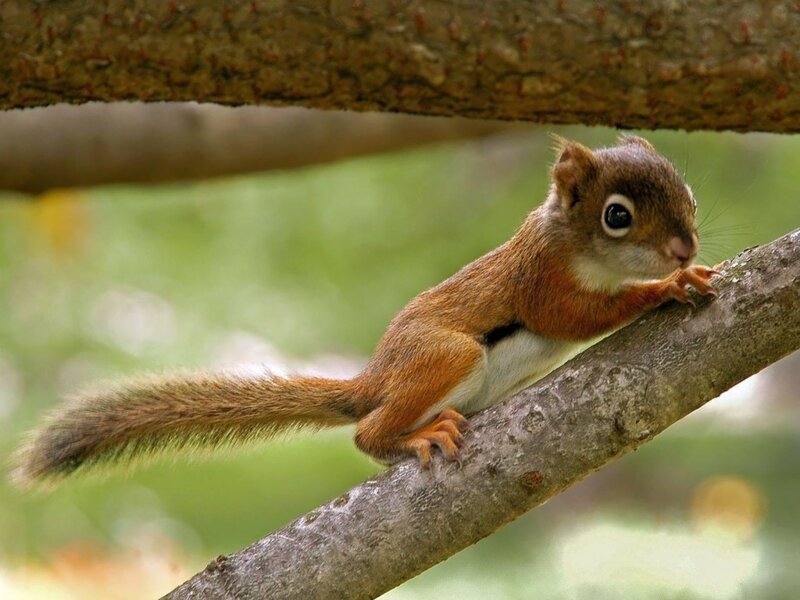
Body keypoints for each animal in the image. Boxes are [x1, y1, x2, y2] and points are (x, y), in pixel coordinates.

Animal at [12, 135, 718, 486]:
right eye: (617, 216)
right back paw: (410, 435)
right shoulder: (540, 282)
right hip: (446, 354)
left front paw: (686, 273)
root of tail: (373, 380)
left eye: (687, 190)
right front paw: (662, 287)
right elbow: (572, 318)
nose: (685, 245)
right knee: (365, 434)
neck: (573, 243)